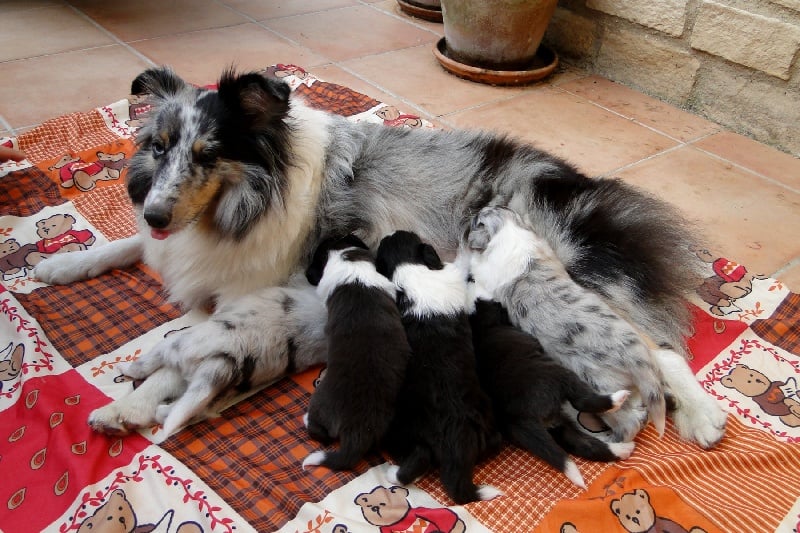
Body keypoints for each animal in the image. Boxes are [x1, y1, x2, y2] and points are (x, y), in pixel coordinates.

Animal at [300, 233, 412, 470]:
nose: (305, 274)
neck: (350, 264)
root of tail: (358, 430)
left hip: (320, 403)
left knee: (320, 434)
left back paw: (306, 420)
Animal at [468, 206, 668, 442]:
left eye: (477, 220)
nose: (473, 213)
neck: (511, 231)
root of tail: (638, 357)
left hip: (600, 383)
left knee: (628, 423)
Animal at [468, 296, 632, 486]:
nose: (501, 305)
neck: (481, 330)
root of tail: (521, 418)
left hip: (556, 425)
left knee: (584, 445)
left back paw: (622, 449)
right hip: (562, 377)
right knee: (583, 401)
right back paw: (617, 399)